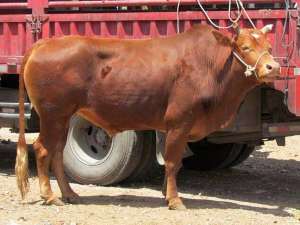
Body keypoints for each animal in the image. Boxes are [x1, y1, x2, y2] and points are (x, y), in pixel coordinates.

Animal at [15, 23, 280, 210]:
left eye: (269, 48)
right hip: (52, 115)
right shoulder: (179, 123)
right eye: (245, 47)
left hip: (63, 118)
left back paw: (70, 193)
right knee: (43, 149)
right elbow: (172, 162)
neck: (211, 66)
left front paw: (165, 193)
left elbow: (175, 163)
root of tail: (44, 43)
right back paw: (50, 196)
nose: (273, 67)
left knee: (57, 152)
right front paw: (174, 199)